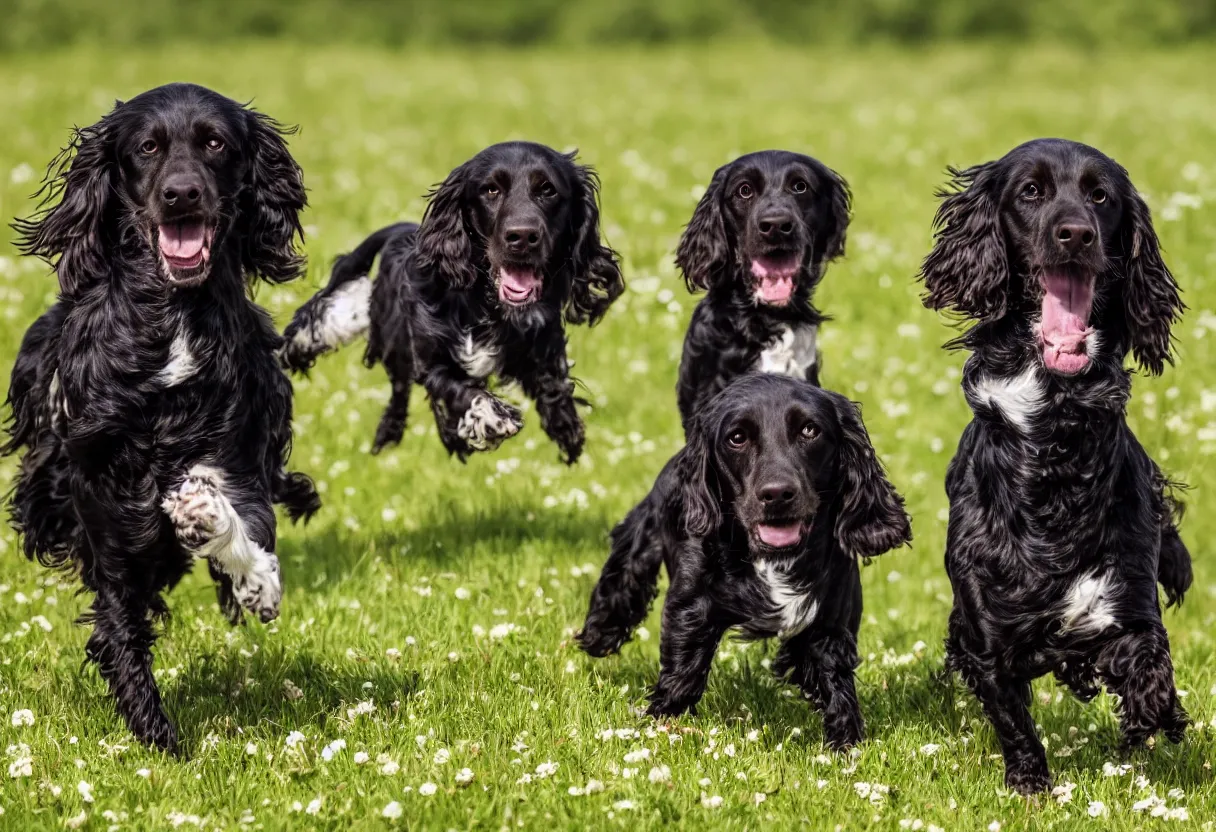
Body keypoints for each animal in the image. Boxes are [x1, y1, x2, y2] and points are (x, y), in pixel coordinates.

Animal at [5, 84, 318, 754]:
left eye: (215, 142)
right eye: (147, 148)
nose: (181, 193)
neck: (172, 317)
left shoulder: (240, 448)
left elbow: (246, 520)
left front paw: (247, 568)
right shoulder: (97, 488)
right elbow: (119, 613)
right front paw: (154, 730)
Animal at [578, 374, 914, 749]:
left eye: (809, 430)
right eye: (737, 438)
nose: (777, 493)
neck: (772, 560)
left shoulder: (831, 621)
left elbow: (837, 682)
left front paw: (847, 742)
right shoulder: (691, 606)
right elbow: (684, 668)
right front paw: (661, 720)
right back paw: (601, 633)